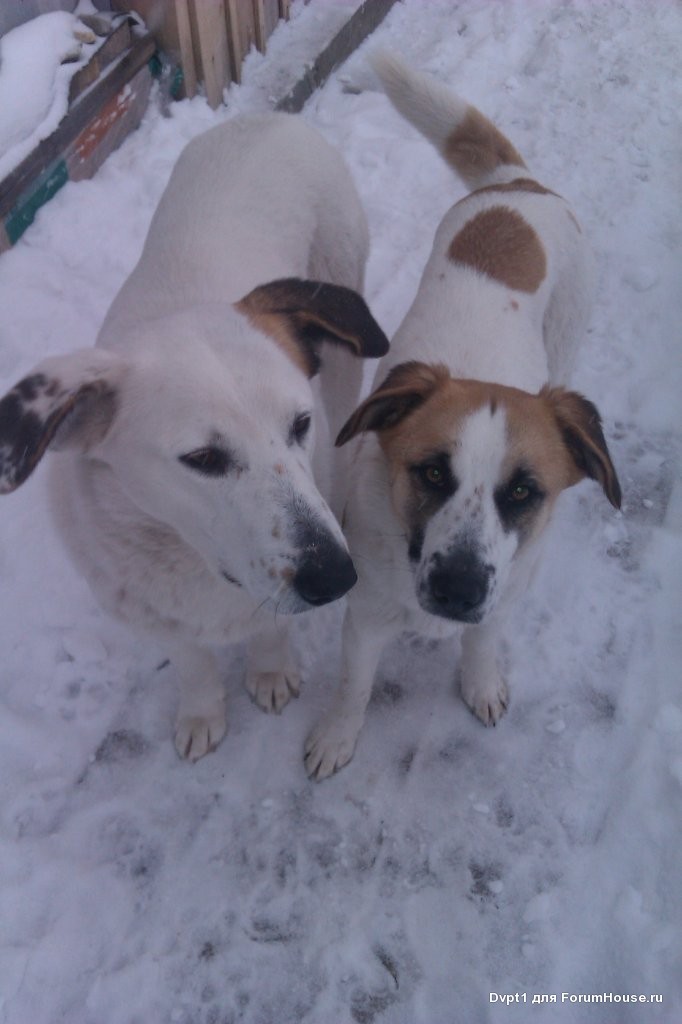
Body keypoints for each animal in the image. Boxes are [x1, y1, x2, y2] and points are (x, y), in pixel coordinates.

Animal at [303, 51, 622, 778]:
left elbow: (482, 644)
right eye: (430, 473)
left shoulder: (503, 599)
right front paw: (336, 736)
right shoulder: (365, 616)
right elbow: (353, 685)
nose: (457, 588)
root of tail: (518, 183)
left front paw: (480, 684)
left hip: (568, 338)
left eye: (525, 491)